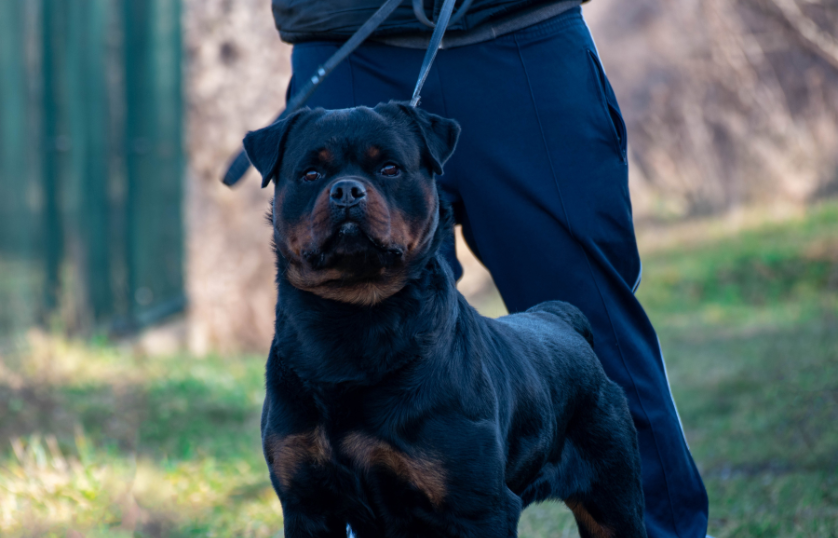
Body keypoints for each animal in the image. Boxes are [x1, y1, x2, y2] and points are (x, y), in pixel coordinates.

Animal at [243, 101, 648, 536]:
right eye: (311, 174)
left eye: (389, 168)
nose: (346, 190)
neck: (352, 321)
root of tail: (558, 317)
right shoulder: (308, 504)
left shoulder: (480, 507)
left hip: (613, 502)